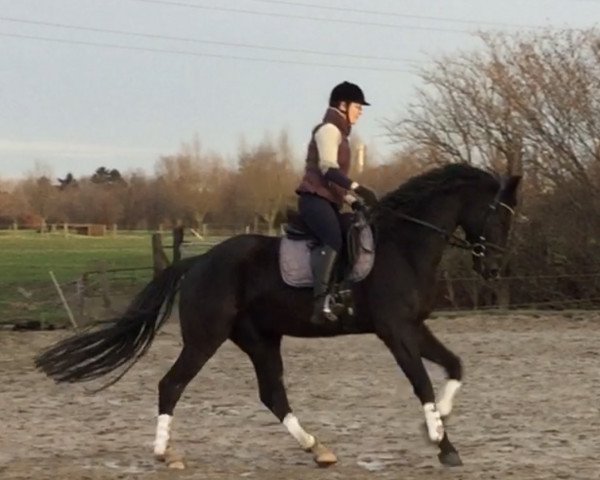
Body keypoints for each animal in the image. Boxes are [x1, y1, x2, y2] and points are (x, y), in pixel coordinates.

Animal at [34, 163, 520, 470]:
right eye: (497, 215)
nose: (495, 268)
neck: (404, 245)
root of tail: (199, 261)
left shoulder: (414, 327)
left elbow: (455, 367)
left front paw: (438, 425)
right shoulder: (395, 331)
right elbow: (422, 384)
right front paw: (443, 444)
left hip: (261, 339)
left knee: (272, 394)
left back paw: (318, 449)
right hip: (205, 338)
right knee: (171, 385)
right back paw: (165, 455)